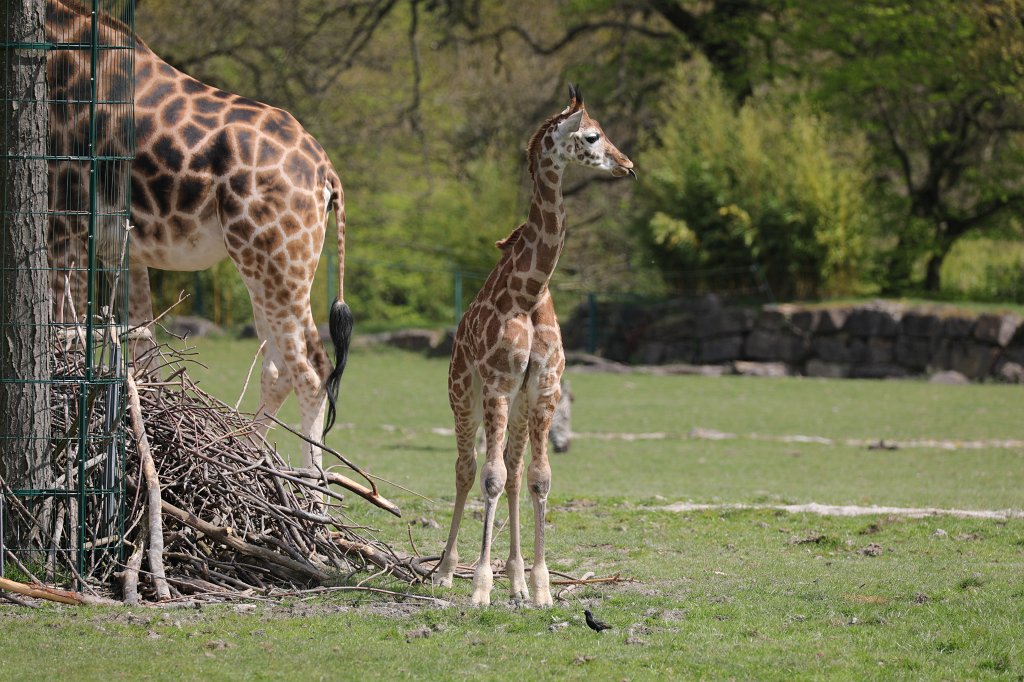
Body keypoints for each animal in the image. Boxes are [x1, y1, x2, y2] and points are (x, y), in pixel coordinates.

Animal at [44, 0, 352, 468]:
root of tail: (325, 173)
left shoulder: (61, 218)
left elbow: (63, 340)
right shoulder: (117, 247)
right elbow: (140, 350)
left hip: (273, 260)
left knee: (311, 371)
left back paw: (306, 485)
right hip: (275, 264)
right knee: (281, 368)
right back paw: (248, 457)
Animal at [433, 86, 634, 606]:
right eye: (592, 136)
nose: (627, 166)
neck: (530, 289)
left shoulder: (543, 388)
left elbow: (538, 478)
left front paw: (540, 586)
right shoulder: (498, 384)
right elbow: (489, 477)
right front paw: (481, 588)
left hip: (520, 404)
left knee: (514, 469)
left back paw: (518, 581)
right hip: (463, 390)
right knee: (466, 467)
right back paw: (446, 571)